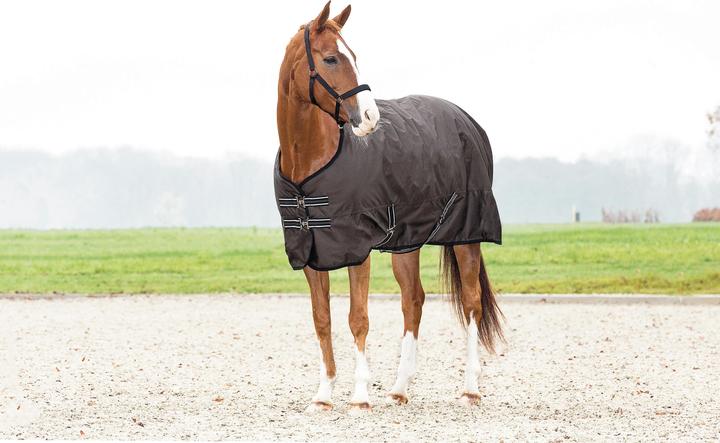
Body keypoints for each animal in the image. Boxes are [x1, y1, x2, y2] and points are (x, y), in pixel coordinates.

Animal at [275, 1, 504, 413]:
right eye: (331, 58)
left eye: (354, 56)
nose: (369, 119)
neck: (310, 164)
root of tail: (464, 118)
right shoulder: (311, 252)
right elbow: (322, 319)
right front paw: (323, 395)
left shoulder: (356, 250)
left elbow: (358, 318)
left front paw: (360, 396)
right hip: (406, 242)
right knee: (413, 300)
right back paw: (399, 388)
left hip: (467, 235)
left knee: (472, 304)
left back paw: (470, 389)